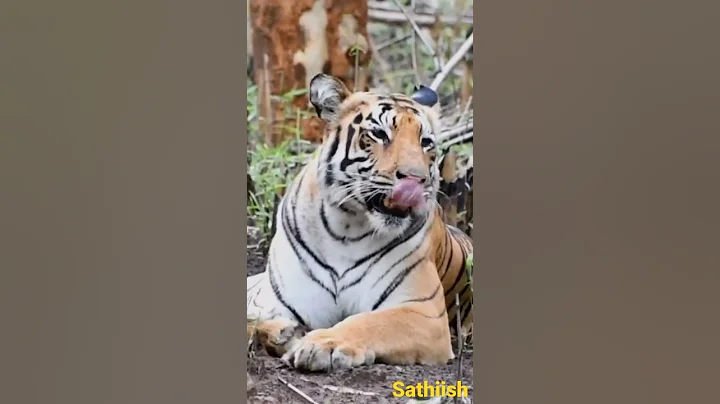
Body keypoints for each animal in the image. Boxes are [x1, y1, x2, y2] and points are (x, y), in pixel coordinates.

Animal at [247, 73, 473, 372]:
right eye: (379, 134)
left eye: (426, 142)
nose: (417, 179)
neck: (346, 229)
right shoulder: (275, 300)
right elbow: (256, 319)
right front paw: (287, 333)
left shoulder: (424, 311)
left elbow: (369, 322)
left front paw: (322, 344)